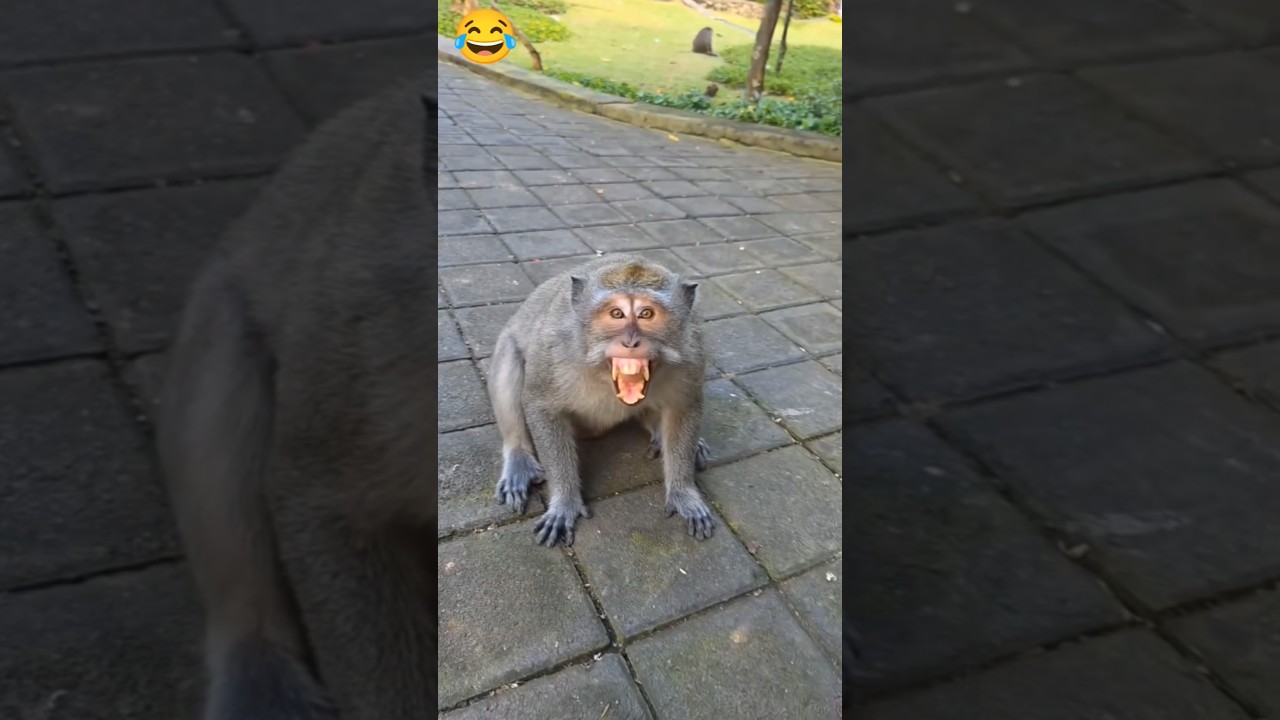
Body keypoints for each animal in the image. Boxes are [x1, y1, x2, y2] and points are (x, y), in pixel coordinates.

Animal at [487, 254, 716, 548]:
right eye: (616, 314)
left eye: (647, 314)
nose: (631, 342)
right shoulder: (554, 348)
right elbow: (539, 403)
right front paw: (565, 501)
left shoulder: (692, 351)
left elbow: (683, 408)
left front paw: (683, 493)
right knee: (510, 358)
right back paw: (518, 458)